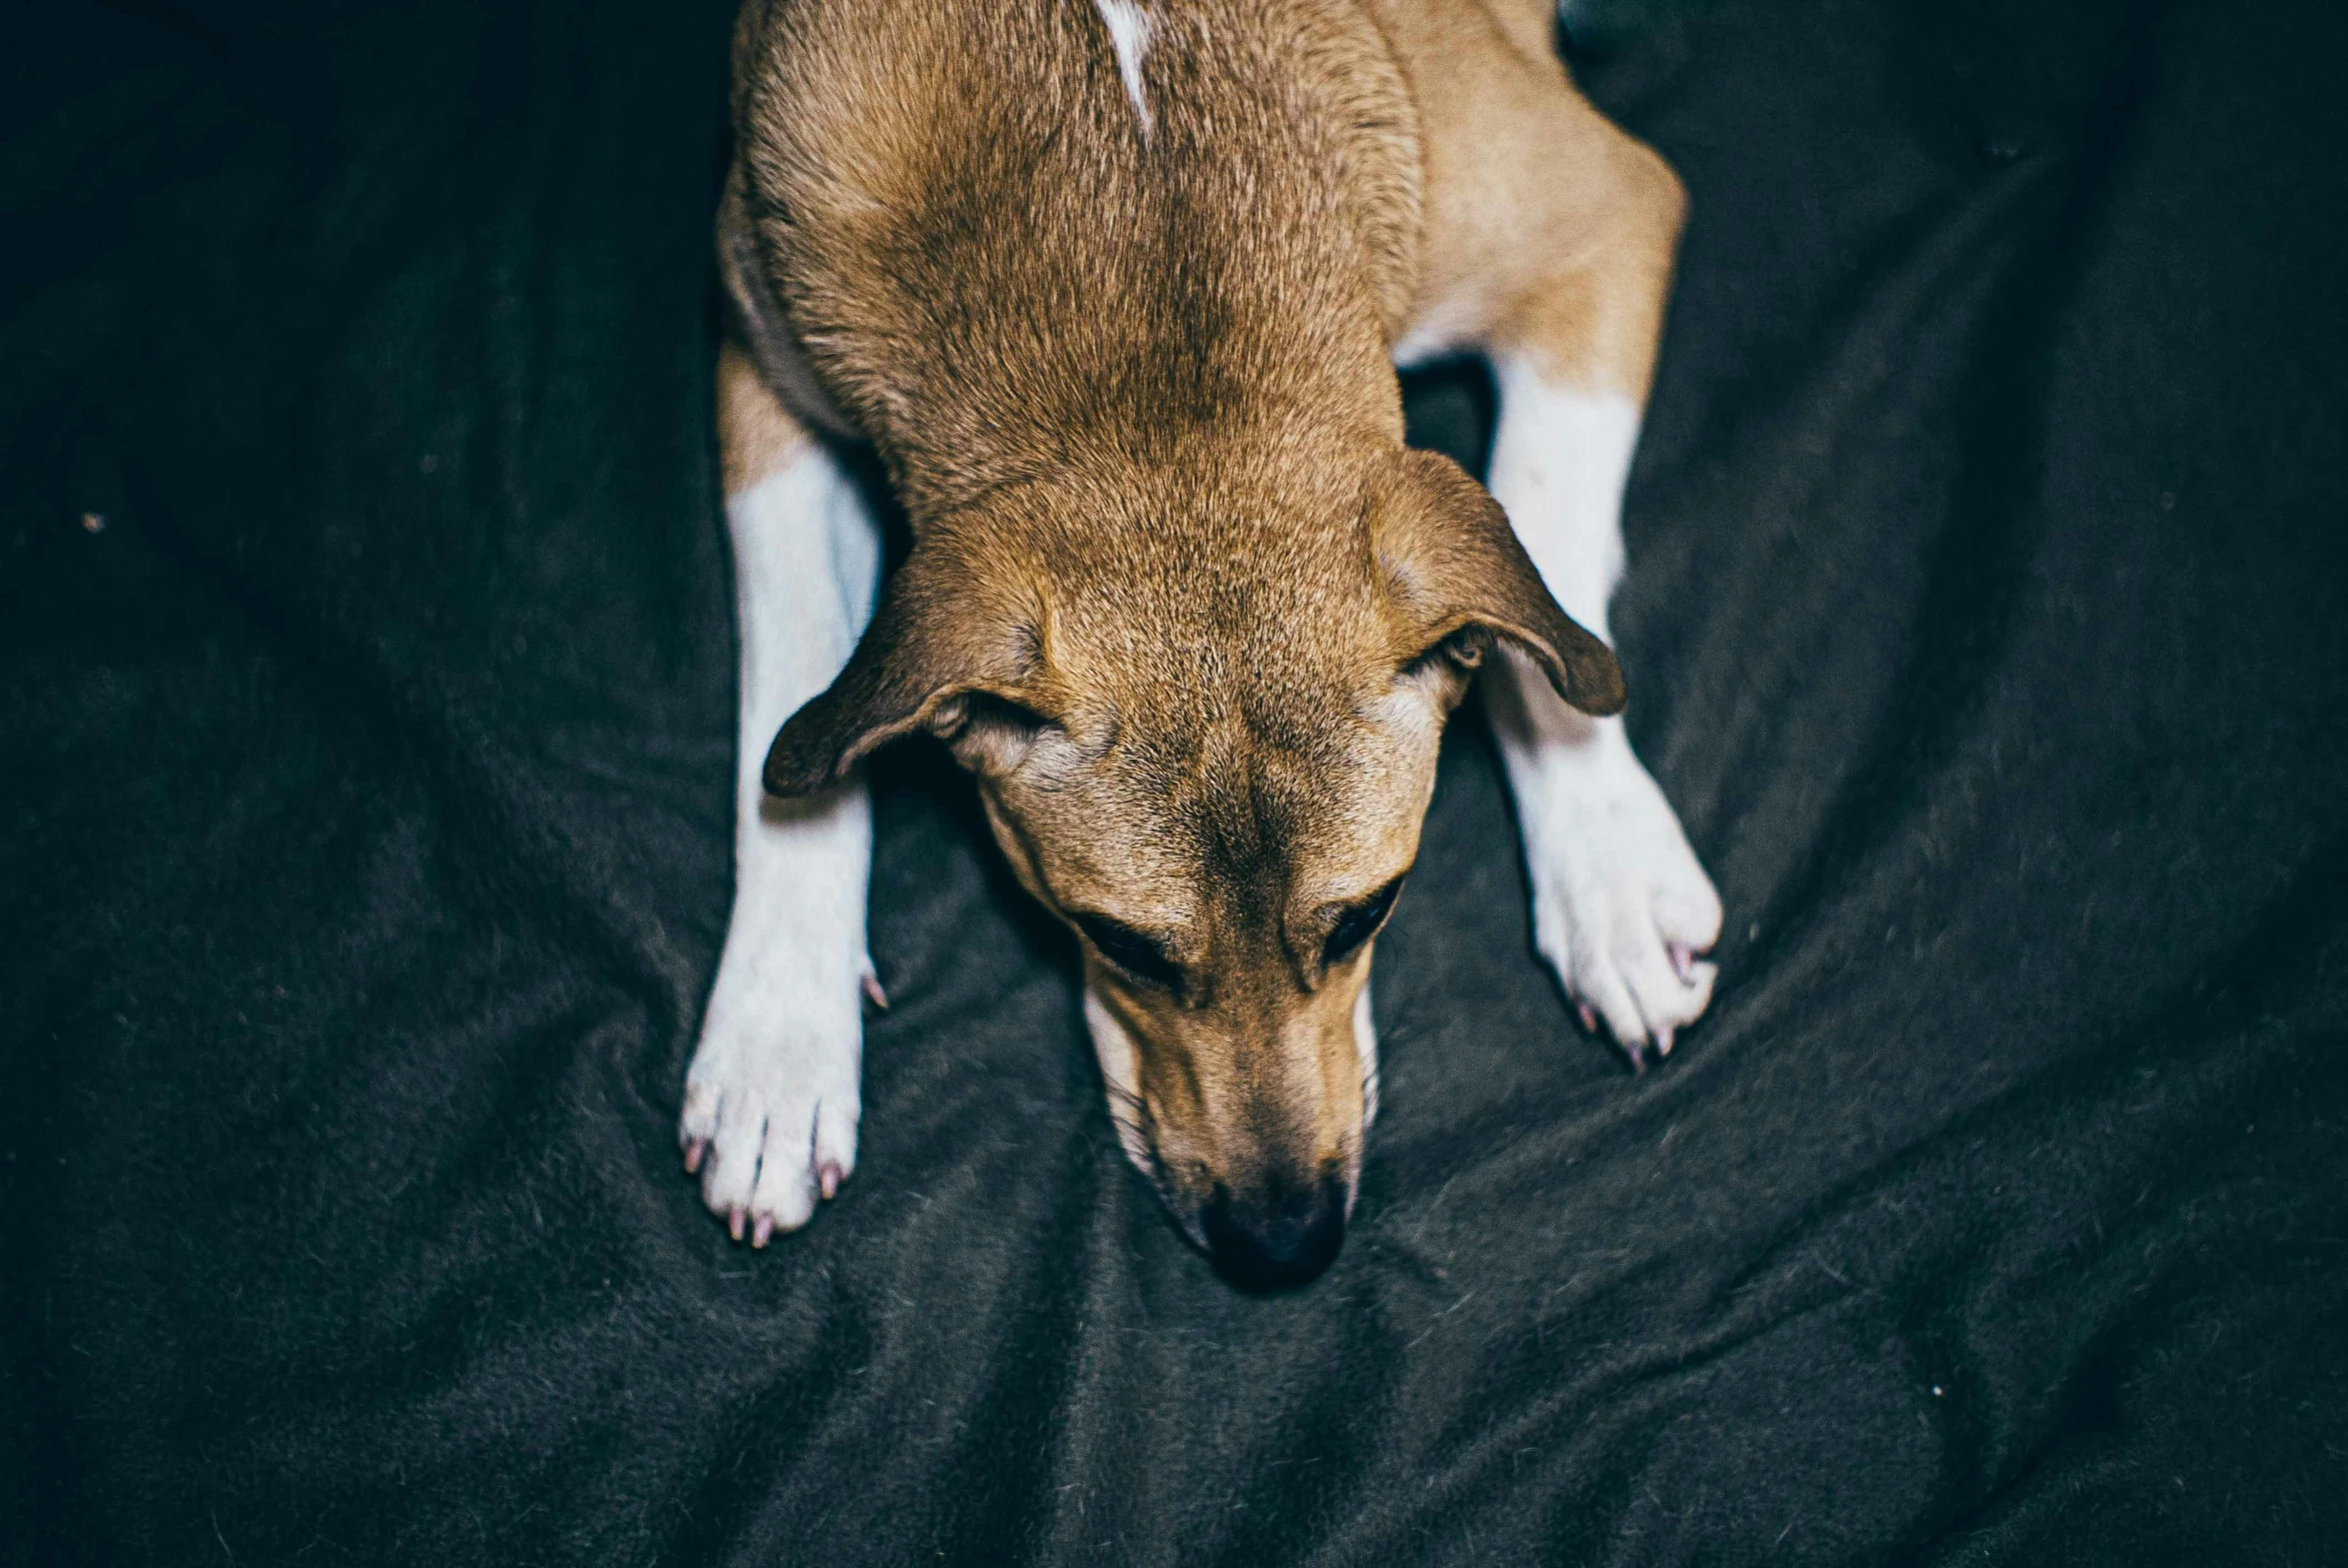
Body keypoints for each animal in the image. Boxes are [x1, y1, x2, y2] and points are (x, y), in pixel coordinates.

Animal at [681, 0, 1727, 1286]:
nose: (1282, 1246)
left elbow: (1547, 580)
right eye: (1112, 942)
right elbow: (793, 705)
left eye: (1370, 913)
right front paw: (775, 1039)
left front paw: (1607, 862)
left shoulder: (1600, 215)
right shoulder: (763, 371)